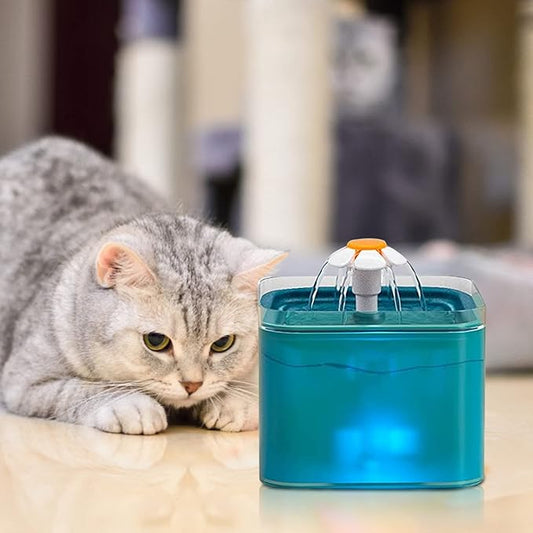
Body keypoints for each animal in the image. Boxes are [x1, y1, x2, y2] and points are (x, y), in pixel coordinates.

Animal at [0, 136, 284, 432]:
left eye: (223, 343)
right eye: (156, 341)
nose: (192, 384)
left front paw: (234, 402)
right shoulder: (24, 382)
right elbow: (84, 389)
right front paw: (131, 405)